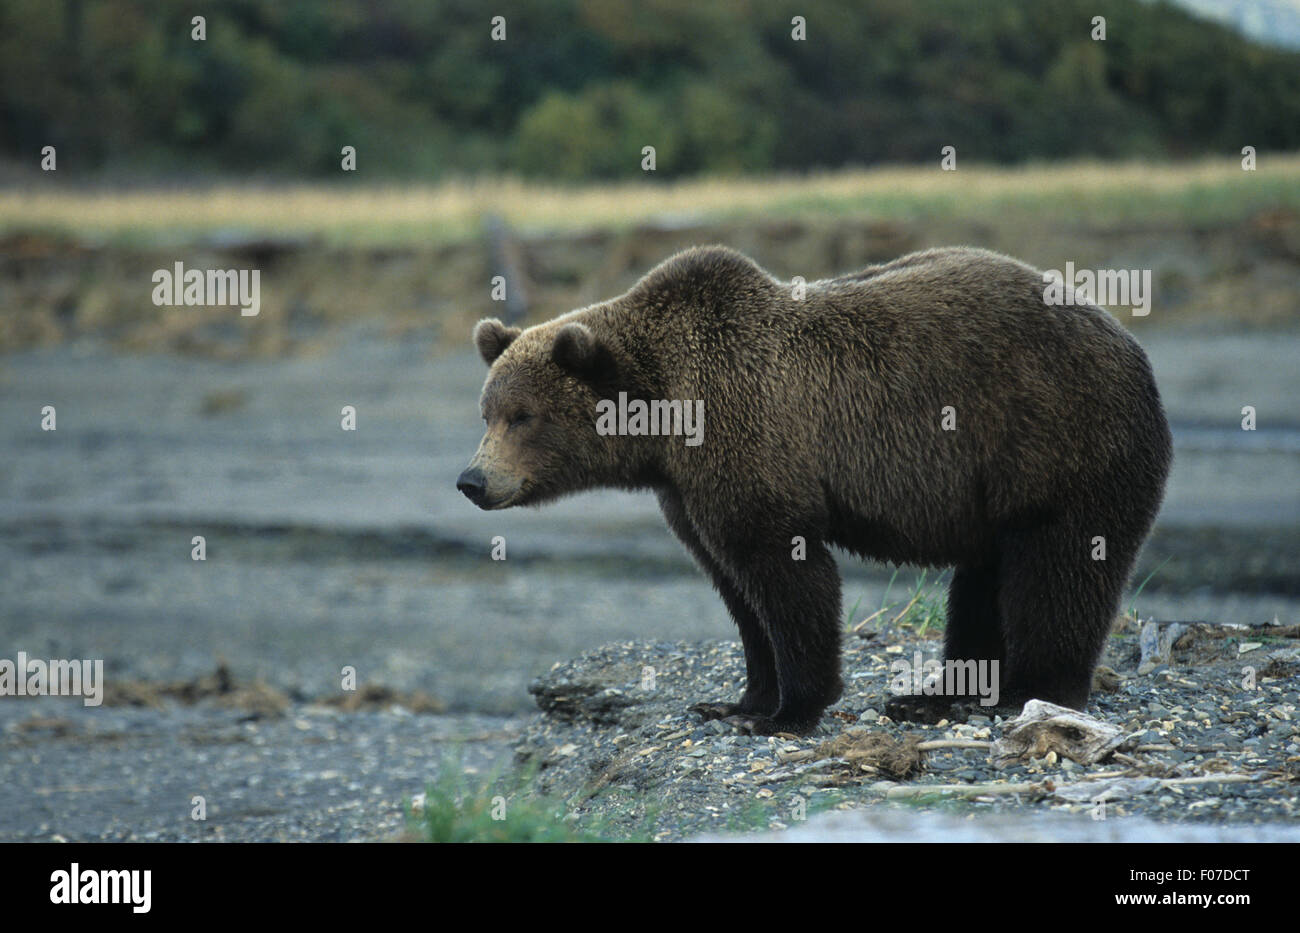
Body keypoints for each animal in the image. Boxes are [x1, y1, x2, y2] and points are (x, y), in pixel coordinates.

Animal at [457, 245, 1172, 736]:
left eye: (524, 416)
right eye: (487, 412)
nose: (473, 481)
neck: (665, 421)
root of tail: (1129, 341)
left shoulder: (751, 437)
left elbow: (787, 574)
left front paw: (787, 710)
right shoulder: (688, 488)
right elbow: (735, 586)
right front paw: (737, 699)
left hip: (1057, 440)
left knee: (1057, 566)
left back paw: (1027, 692)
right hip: (993, 487)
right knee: (983, 580)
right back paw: (937, 695)